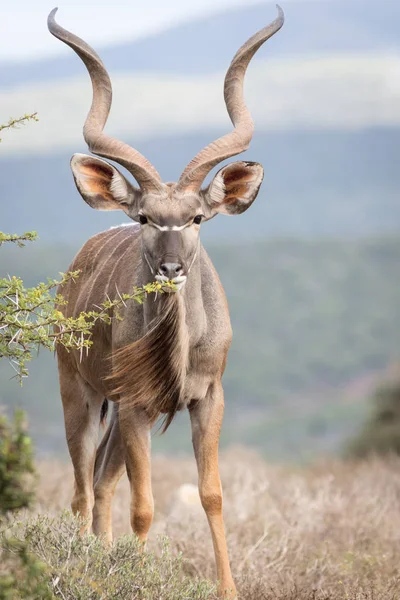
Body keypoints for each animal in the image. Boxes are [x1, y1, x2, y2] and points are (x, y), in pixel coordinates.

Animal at [47, 4, 284, 596]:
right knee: (82, 488)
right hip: (78, 393)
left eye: (197, 218)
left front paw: (228, 588)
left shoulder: (207, 399)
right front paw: (133, 575)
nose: (172, 268)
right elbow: (145, 506)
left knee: (101, 484)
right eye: (145, 217)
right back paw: (83, 565)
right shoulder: (136, 405)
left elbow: (211, 495)